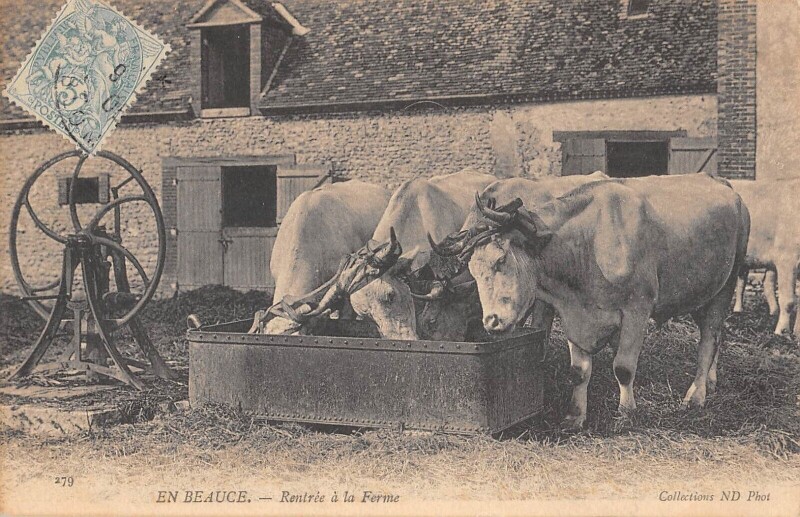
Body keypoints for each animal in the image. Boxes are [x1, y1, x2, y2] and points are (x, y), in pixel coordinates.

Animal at [431, 173, 750, 429]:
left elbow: (623, 367)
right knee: (715, 337)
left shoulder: (637, 308)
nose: (492, 322)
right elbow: (578, 371)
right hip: (702, 292)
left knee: (708, 340)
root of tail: (722, 183)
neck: (588, 244)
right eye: (472, 271)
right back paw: (710, 382)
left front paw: (626, 413)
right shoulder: (573, 313)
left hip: (726, 285)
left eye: (500, 260)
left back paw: (696, 395)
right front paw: (575, 416)